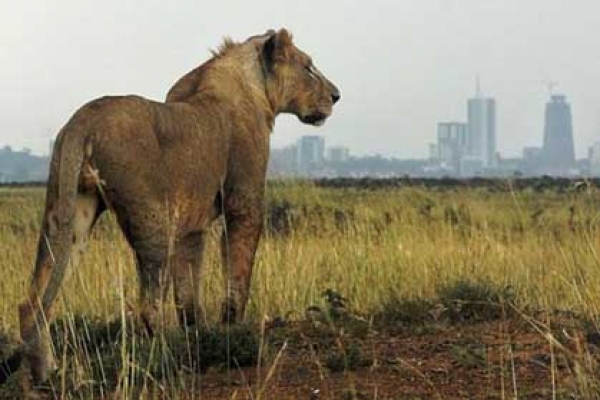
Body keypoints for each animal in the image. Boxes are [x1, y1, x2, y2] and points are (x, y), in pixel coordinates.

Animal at [7, 28, 340, 388]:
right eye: (308, 67)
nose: (336, 96)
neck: (253, 86)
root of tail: (82, 120)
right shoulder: (244, 202)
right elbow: (237, 275)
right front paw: (233, 335)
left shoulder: (190, 227)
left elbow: (188, 295)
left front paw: (200, 341)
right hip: (152, 221)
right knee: (147, 308)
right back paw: (166, 365)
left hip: (70, 213)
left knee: (33, 300)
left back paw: (46, 375)